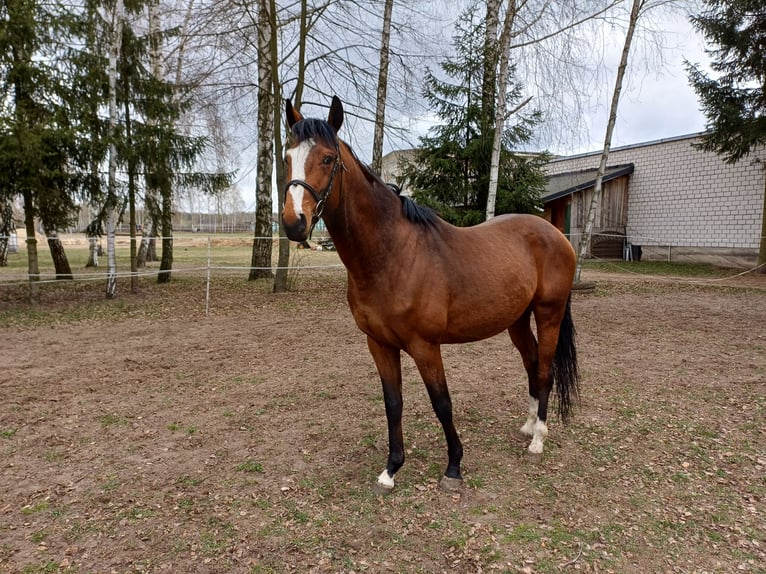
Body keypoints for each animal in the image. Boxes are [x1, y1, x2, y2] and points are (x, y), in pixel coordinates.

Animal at [281, 96, 579, 493]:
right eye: (288, 157)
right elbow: (393, 402)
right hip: (516, 320)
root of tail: (555, 234)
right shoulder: (379, 344)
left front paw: (453, 467)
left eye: (328, 158)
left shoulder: (425, 346)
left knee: (545, 370)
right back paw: (529, 425)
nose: (293, 223)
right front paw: (391, 470)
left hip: (549, 313)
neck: (392, 254)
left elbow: (442, 403)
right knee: (531, 365)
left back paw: (538, 440)